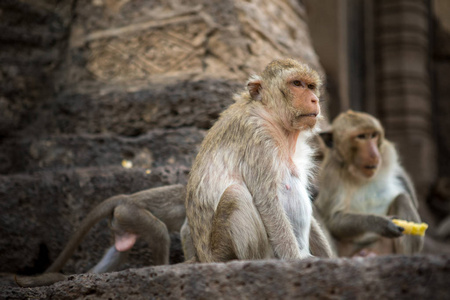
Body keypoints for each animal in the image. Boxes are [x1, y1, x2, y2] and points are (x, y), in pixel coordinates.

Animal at [14, 184, 185, 288]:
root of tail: (126, 198)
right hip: (131, 213)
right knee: (159, 231)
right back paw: (163, 268)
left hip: (122, 220)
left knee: (119, 251)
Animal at [183, 58, 334, 262]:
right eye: (296, 84)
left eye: (310, 86)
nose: (314, 100)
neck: (272, 117)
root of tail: (203, 257)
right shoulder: (258, 137)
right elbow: (267, 201)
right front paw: (294, 261)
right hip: (221, 253)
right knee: (235, 194)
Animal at [314, 111, 424, 256]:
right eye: (361, 137)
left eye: (373, 135)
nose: (374, 154)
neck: (358, 173)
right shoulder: (332, 173)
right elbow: (334, 218)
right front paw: (381, 223)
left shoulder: (386, 151)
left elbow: (400, 174)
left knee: (402, 198)